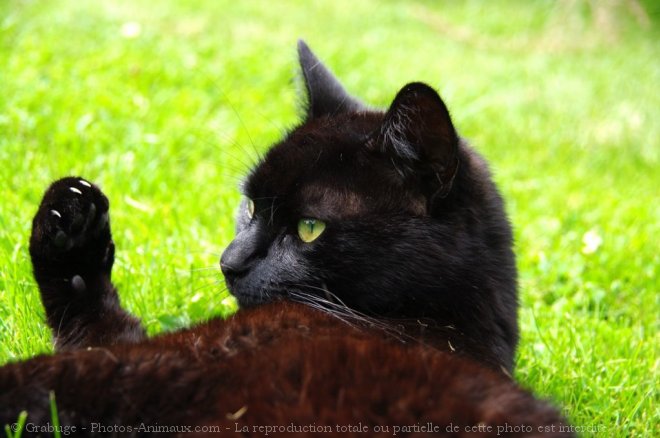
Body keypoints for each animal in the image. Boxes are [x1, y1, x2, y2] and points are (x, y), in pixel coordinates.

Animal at [0, 40, 568, 434]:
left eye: (310, 228)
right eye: (250, 205)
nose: (229, 261)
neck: (434, 324)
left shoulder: (182, 356)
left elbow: (63, 368)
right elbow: (93, 320)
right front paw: (70, 225)